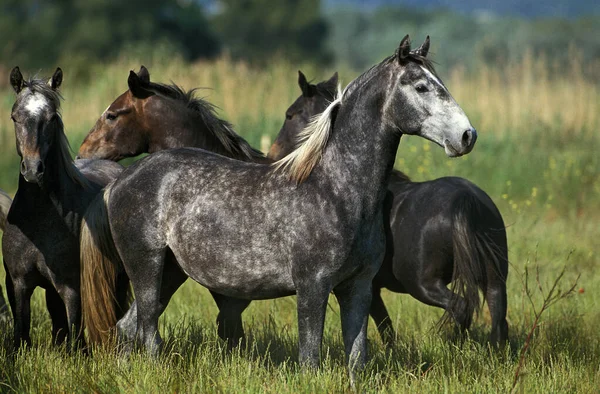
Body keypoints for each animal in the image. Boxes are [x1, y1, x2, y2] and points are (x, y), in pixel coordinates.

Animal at [2, 67, 127, 348]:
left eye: (50, 118)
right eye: (15, 117)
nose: (33, 169)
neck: (40, 220)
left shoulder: (71, 287)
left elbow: (75, 339)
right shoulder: (18, 284)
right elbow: (21, 334)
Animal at [79, 33, 476, 376]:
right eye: (421, 86)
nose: (466, 136)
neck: (335, 189)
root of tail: (118, 183)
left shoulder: (359, 288)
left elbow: (357, 359)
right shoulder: (312, 287)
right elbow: (309, 358)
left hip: (170, 273)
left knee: (127, 327)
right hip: (146, 267)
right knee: (148, 333)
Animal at [270, 71, 508, 344]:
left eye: (290, 114)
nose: (272, 153)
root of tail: (466, 201)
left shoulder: (364, 285)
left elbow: (383, 325)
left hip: (424, 285)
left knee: (460, 308)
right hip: (495, 279)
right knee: (499, 318)